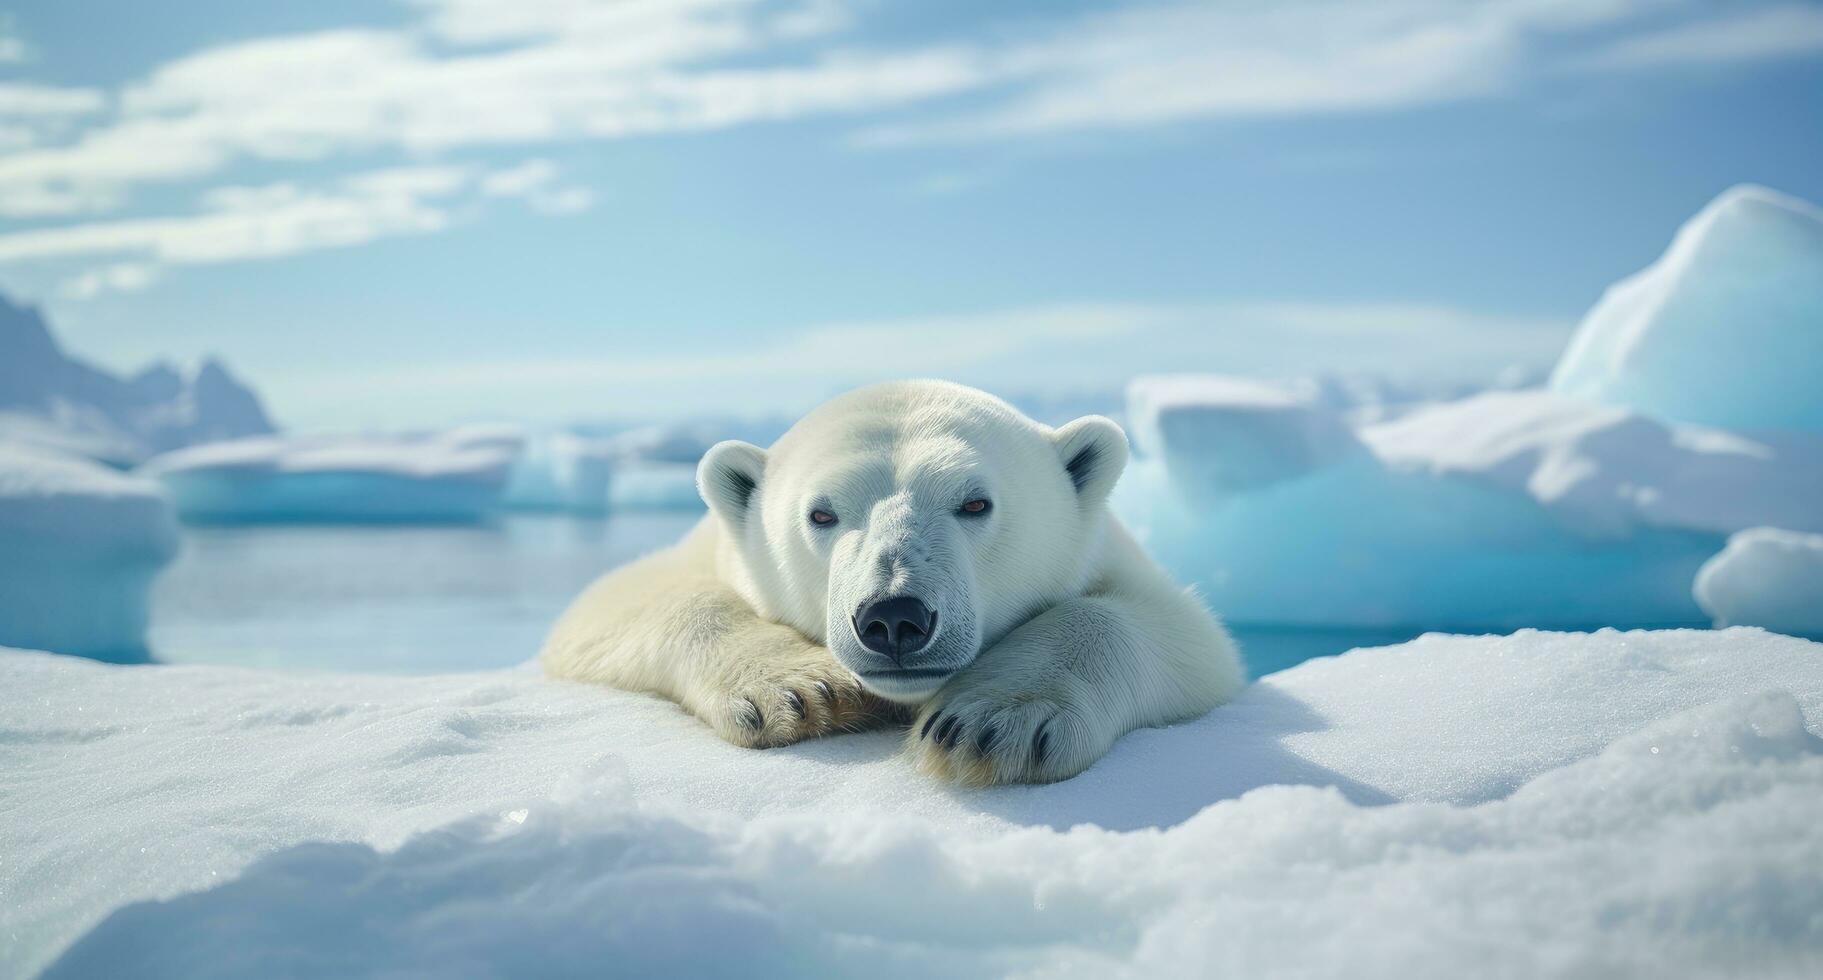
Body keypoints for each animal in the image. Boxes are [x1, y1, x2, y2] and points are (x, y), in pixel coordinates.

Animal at [539, 377, 1246, 783]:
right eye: (821, 513)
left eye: (975, 503)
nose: (895, 617)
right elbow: (618, 604)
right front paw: (805, 691)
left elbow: (1186, 639)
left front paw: (992, 721)